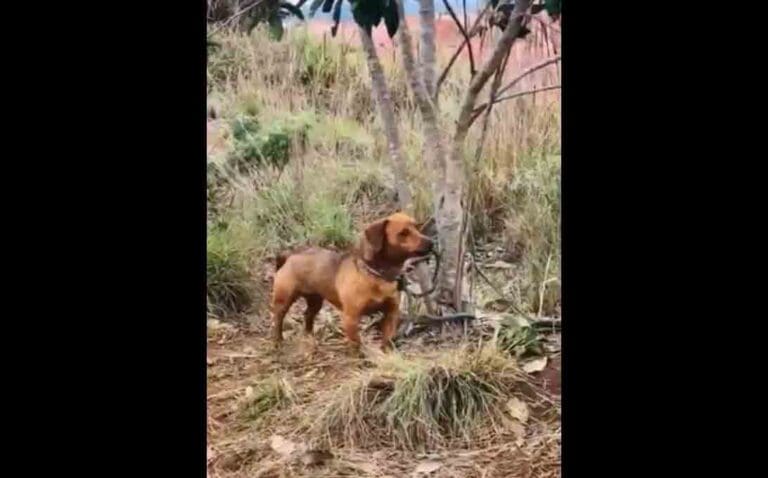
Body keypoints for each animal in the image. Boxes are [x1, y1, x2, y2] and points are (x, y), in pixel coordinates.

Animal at [270, 212, 433, 352]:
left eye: (417, 227)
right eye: (403, 233)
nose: (431, 242)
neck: (377, 274)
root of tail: (290, 255)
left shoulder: (391, 314)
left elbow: (387, 340)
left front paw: (387, 355)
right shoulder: (351, 318)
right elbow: (356, 345)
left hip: (315, 300)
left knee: (308, 315)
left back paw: (309, 336)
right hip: (283, 300)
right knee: (278, 319)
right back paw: (277, 340)